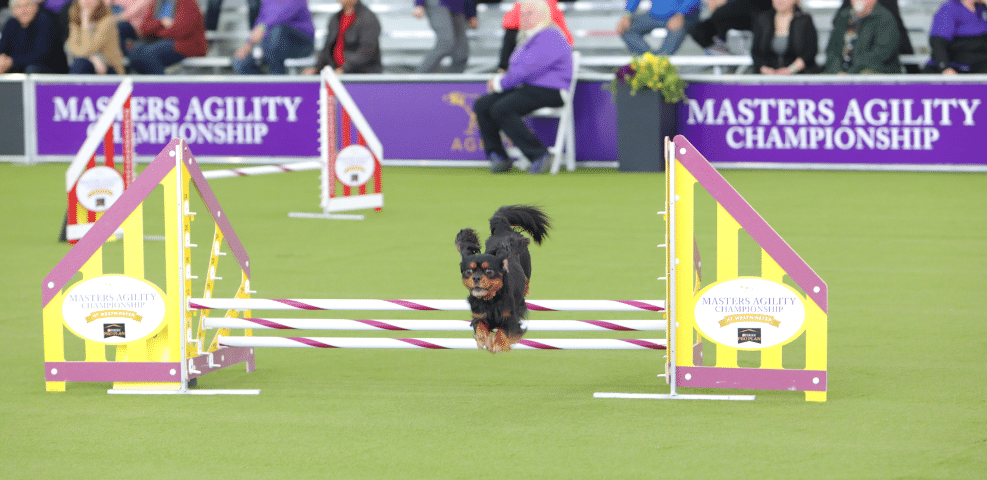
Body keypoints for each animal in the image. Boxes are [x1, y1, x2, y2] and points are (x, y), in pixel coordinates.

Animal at [454, 205, 548, 352]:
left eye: (489, 271)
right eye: (469, 271)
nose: (476, 277)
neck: (490, 300)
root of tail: (502, 229)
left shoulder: (512, 319)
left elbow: (504, 331)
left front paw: (497, 345)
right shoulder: (478, 315)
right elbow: (480, 326)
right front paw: (483, 339)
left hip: (527, 266)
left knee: (527, 280)